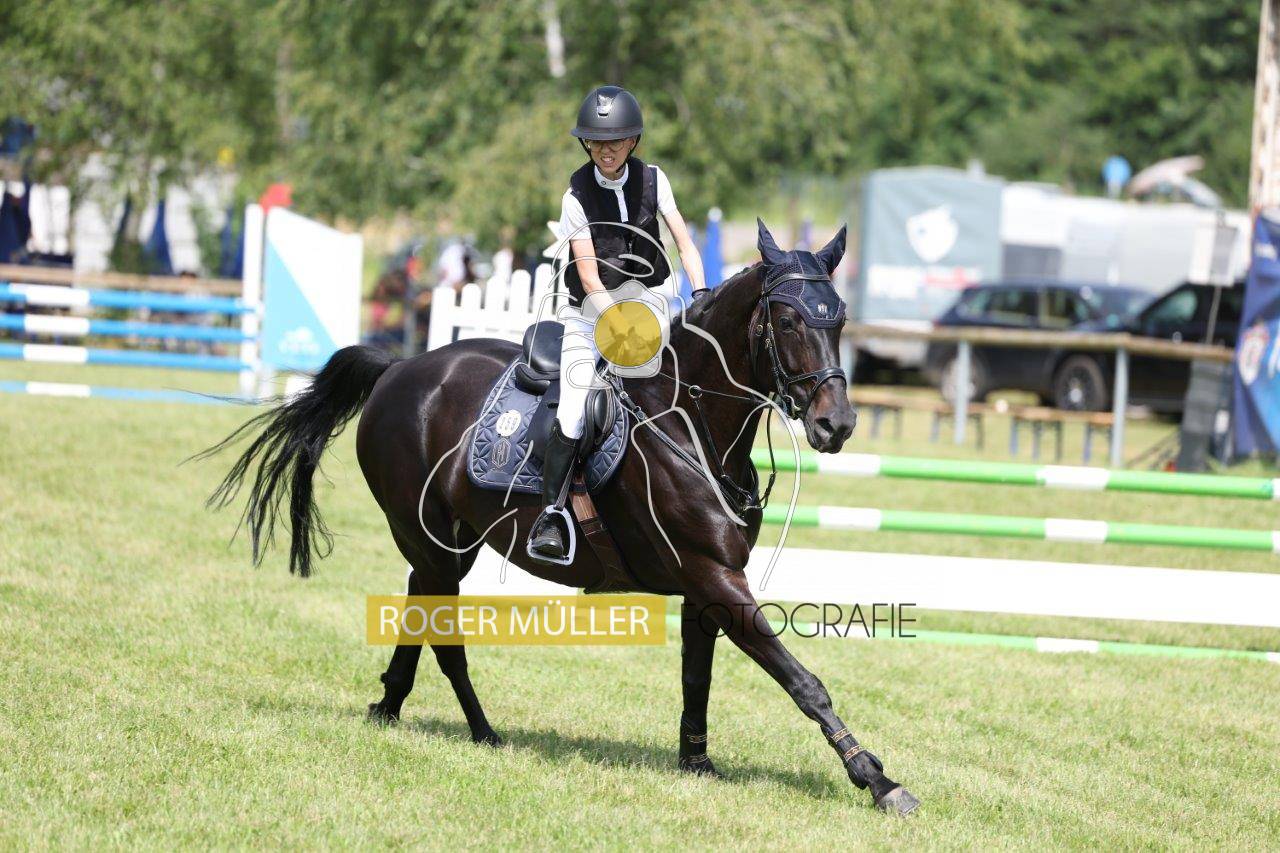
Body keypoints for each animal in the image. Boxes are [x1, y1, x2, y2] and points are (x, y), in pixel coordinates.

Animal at [202, 220, 919, 814]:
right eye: (789, 320)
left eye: (839, 319)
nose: (836, 424)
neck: (696, 426)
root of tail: (402, 367)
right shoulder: (714, 576)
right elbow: (804, 681)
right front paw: (877, 779)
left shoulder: (708, 585)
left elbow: (698, 677)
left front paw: (696, 762)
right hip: (429, 540)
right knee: (445, 634)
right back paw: (481, 730)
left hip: (450, 542)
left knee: (418, 611)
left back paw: (391, 705)